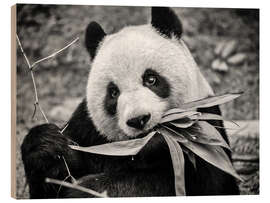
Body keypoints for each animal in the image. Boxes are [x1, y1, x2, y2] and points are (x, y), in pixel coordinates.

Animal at [22, 7, 239, 197]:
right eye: (113, 92)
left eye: (151, 79)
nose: (138, 119)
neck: (146, 148)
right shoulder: (88, 131)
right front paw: (48, 145)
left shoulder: (205, 134)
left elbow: (203, 184)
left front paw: (87, 189)